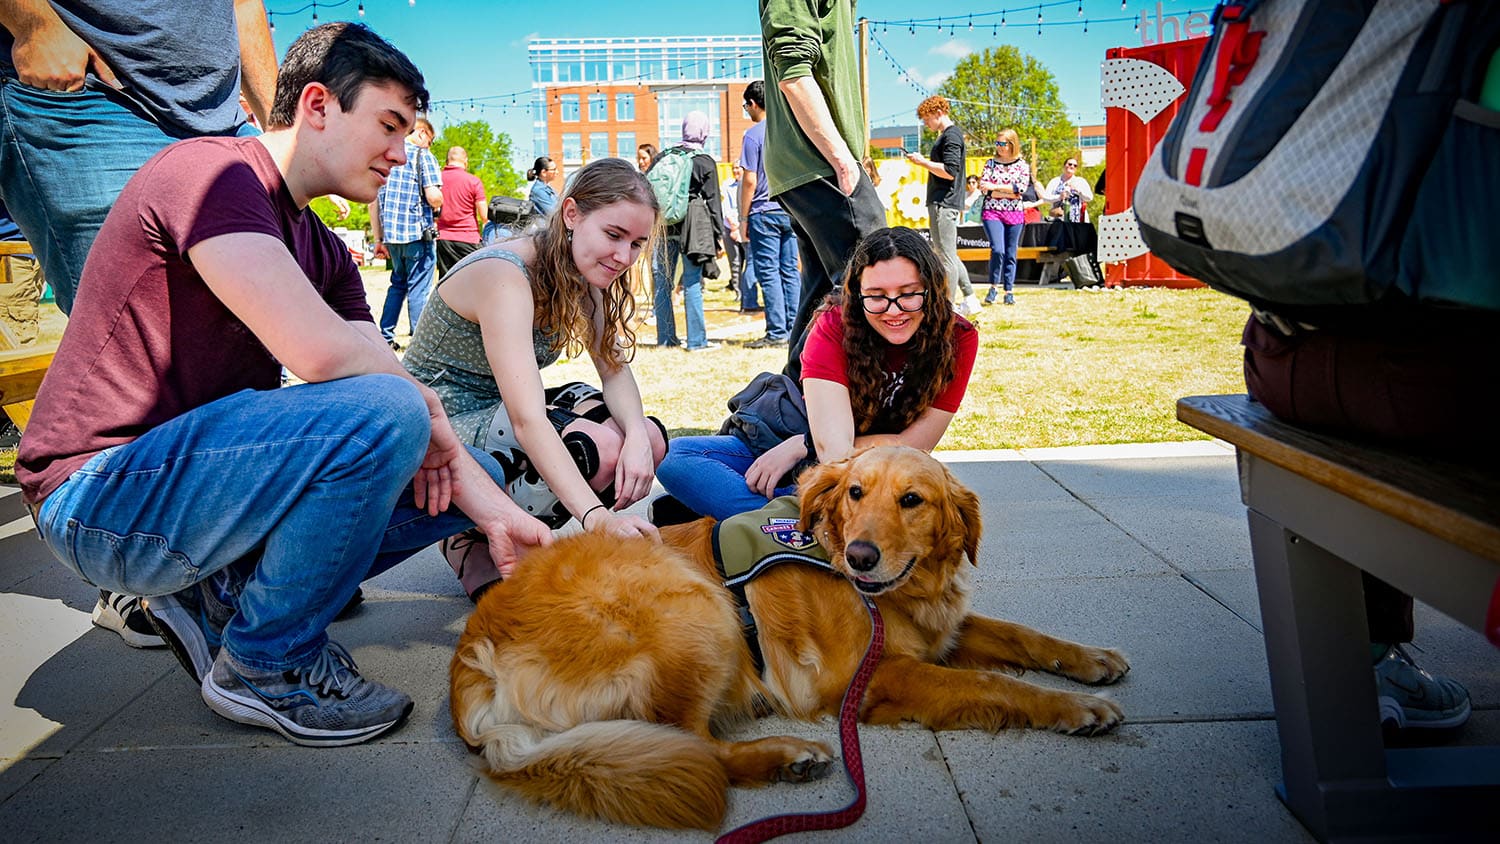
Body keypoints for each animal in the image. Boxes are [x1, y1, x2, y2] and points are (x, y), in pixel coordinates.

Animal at [450, 446, 1128, 827]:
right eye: (855, 492)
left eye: (913, 500)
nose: (860, 556)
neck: (899, 592)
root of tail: (472, 662)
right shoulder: (865, 677)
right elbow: (990, 683)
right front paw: (1074, 708)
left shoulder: (942, 630)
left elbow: (1021, 635)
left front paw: (1091, 660)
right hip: (697, 607)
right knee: (696, 747)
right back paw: (784, 756)